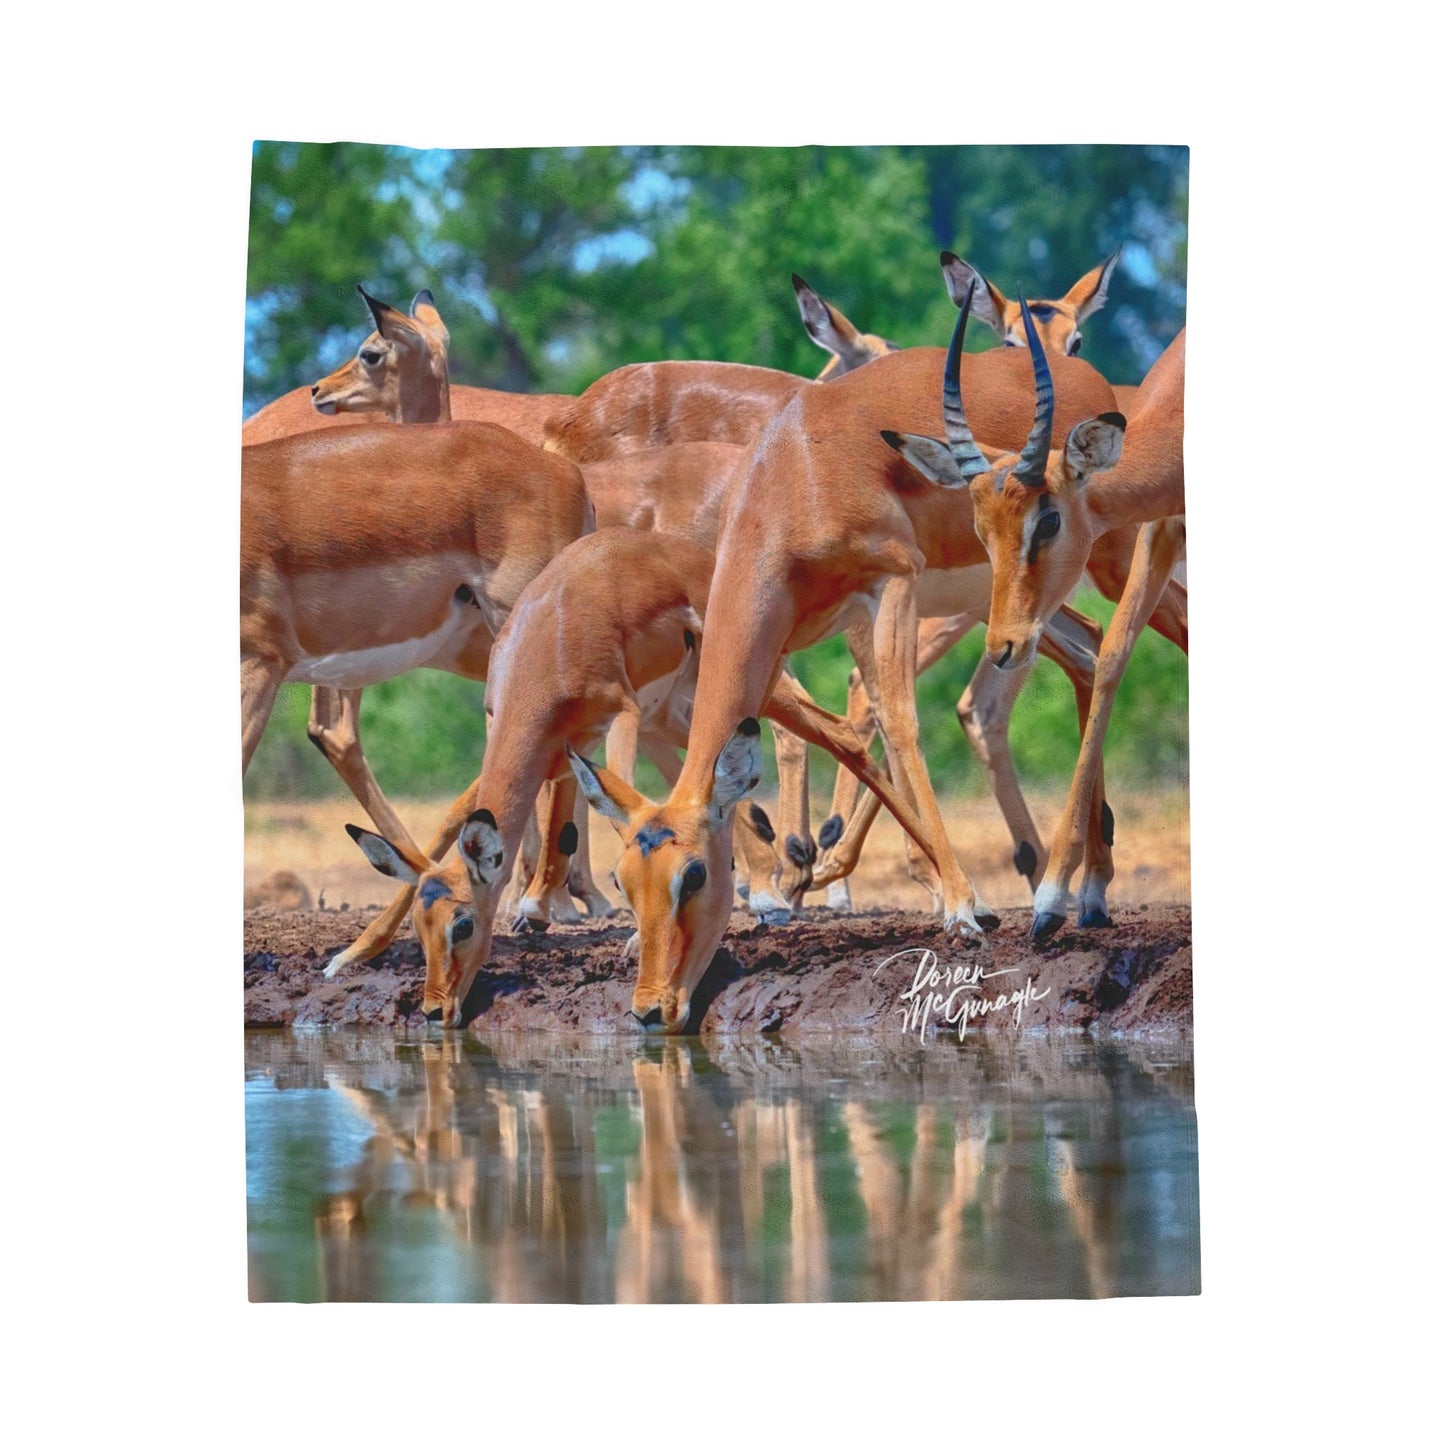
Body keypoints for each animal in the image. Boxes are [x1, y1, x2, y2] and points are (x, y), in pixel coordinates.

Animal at [334, 528, 953, 1026]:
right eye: (423, 925)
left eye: (462, 925)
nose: (435, 1010)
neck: (550, 638)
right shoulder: (551, 746)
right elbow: (464, 819)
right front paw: (353, 953)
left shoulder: (621, 715)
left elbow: (621, 813)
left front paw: (623, 933)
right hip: (677, 714)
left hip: (742, 693)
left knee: (841, 736)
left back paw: (945, 897)